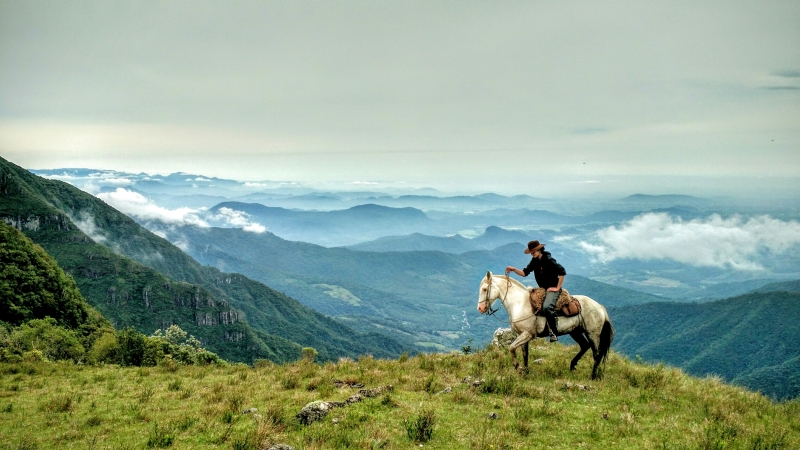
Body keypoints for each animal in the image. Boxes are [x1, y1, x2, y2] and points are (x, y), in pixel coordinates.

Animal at [478, 270, 616, 380]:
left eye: (484, 289)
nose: (480, 308)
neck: (520, 304)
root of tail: (600, 307)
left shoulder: (528, 334)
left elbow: (511, 348)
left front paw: (518, 367)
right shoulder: (523, 335)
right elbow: (525, 354)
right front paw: (525, 371)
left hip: (592, 334)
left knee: (596, 354)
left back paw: (592, 376)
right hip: (575, 331)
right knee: (584, 346)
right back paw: (572, 365)